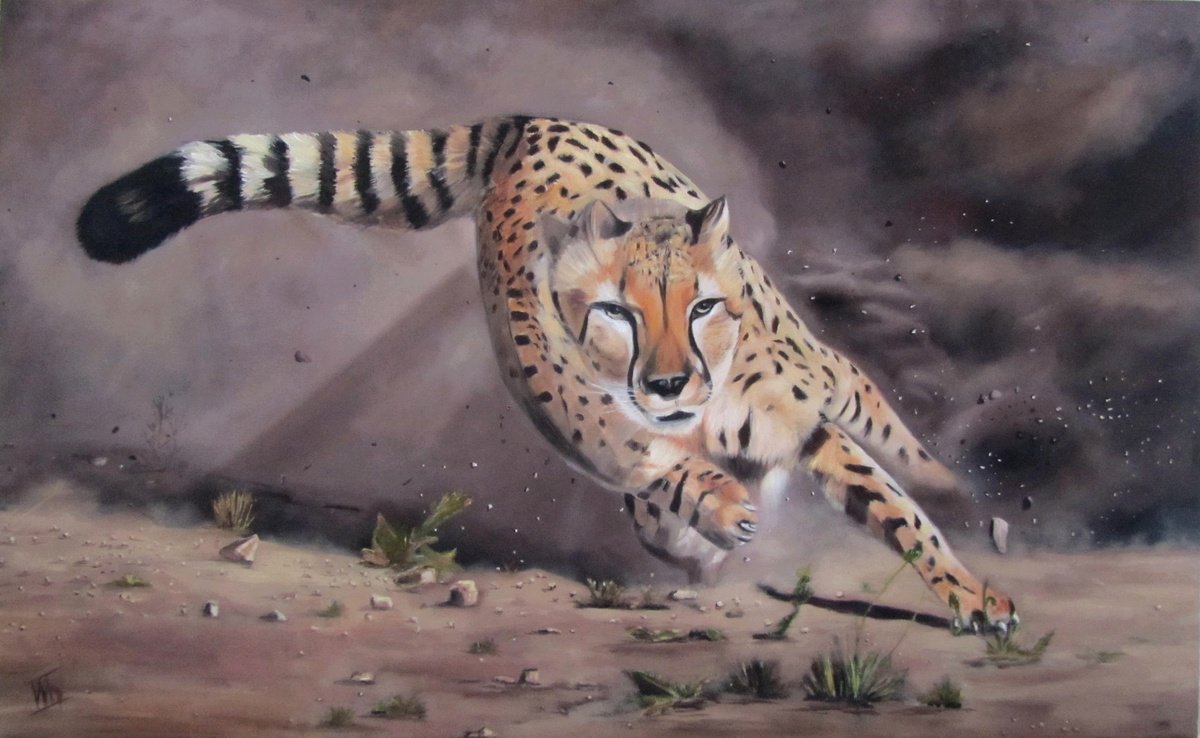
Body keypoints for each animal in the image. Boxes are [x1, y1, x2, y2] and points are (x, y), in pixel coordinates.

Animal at [77, 115, 1016, 632]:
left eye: (702, 309)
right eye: (619, 314)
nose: (670, 386)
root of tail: (534, 122)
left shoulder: (804, 420)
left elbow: (898, 509)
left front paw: (973, 594)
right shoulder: (584, 411)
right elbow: (650, 465)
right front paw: (714, 511)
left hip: (819, 368)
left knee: (873, 408)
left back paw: (964, 492)